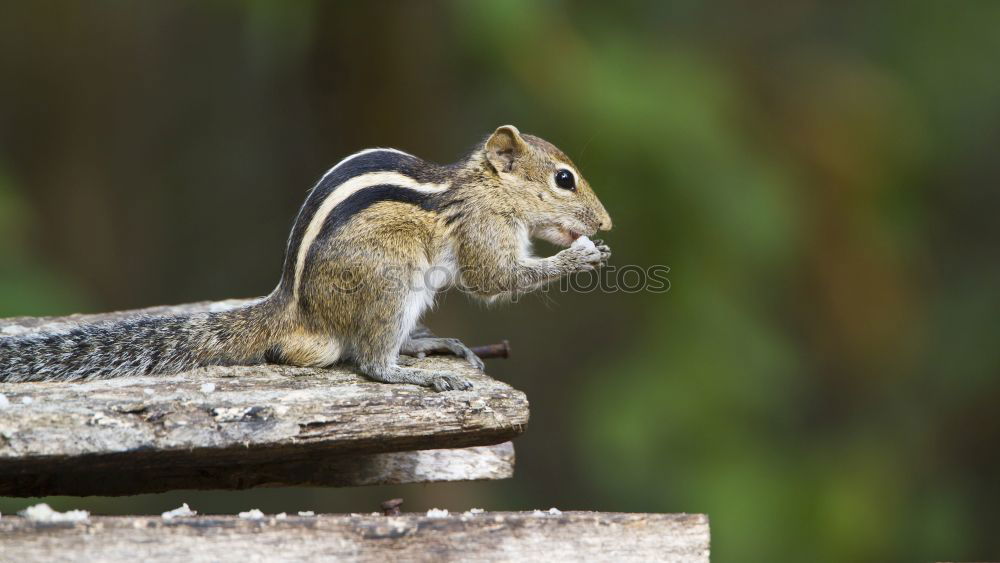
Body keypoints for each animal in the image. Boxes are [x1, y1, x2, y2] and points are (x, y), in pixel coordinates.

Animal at [0, 126, 612, 392]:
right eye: (564, 180)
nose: (606, 223)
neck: (483, 188)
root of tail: (295, 310)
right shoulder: (483, 230)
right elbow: (493, 278)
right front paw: (581, 257)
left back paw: (428, 345)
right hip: (390, 284)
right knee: (369, 361)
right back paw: (416, 373)